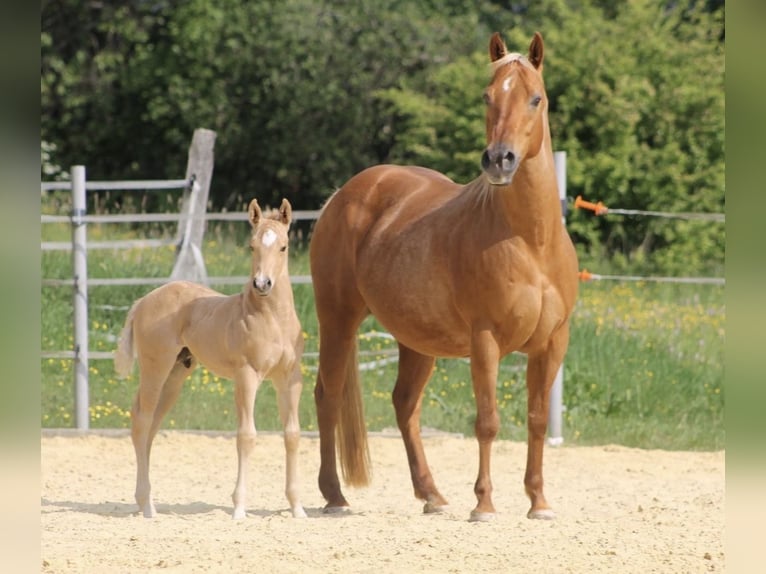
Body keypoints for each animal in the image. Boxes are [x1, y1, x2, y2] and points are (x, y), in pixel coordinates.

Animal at [114, 198, 307, 519]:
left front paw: (297, 508)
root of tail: (145, 301)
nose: (262, 284)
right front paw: (239, 508)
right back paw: (149, 507)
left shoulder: (289, 378)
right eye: (252, 246)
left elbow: (292, 434)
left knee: (150, 426)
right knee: (142, 420)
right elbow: (246, 436)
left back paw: (144, 503)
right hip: (156, 367)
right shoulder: (246, 376)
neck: (273, 320)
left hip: (176, 374)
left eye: (283, 246)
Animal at [309, 31, 578, 521]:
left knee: (404, 404)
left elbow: (535, 420)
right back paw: (334, 496)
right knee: (328, 395)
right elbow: (487, 421)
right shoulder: (485, 340)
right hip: (337, 319)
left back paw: (431, 495)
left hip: (416, 340)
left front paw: (538, 502)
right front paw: (484, 505)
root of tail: (345, 194)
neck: (532, 243)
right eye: (488, 97)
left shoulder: (552, 343)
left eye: (536, 98)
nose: (499, 160)